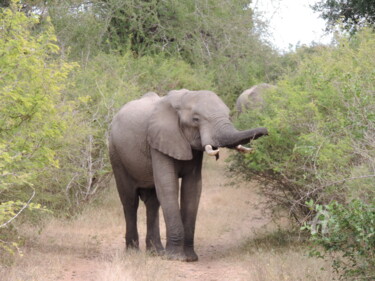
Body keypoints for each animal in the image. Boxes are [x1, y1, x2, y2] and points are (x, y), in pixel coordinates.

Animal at [107, 89, 268, 260]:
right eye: (195, 119)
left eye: (229, 115)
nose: (266, 130)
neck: (182, 99)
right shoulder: (159, 141)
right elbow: (168, 186)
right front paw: (175, 258)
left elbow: (192, 189)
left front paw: (190, 258)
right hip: (115, 153)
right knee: (130, 201)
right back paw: (133, 253)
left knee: (152, 202)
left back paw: (156, 252)